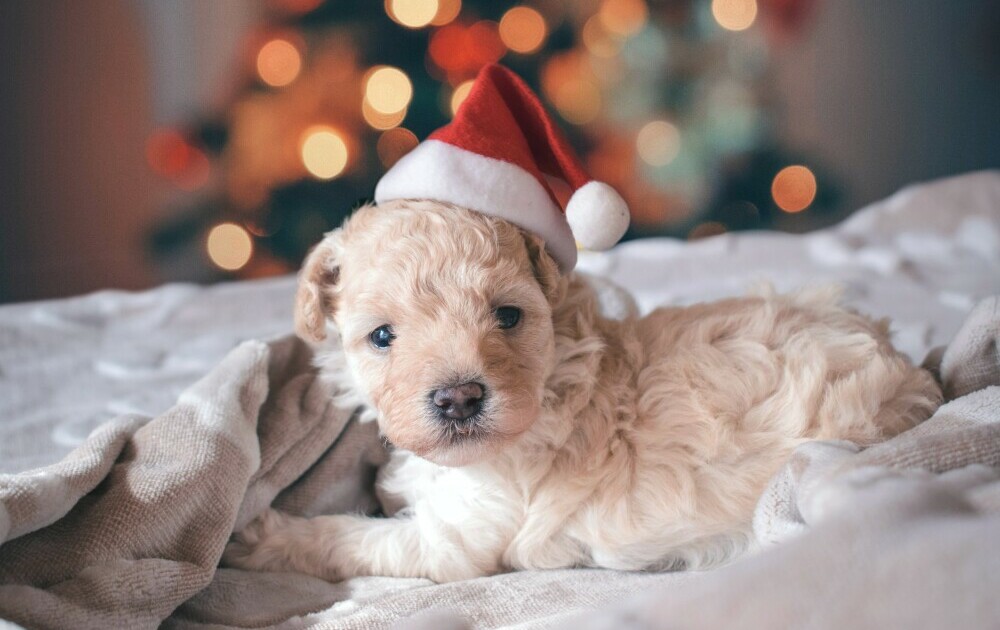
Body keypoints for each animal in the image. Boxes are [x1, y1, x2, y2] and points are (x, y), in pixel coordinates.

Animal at [223, 201, 940, 584]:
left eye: (508, 316)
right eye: (380, 336)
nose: (459, 398)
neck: (551, 379)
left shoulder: (452, 543)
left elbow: (351, 538)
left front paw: (260, 534)